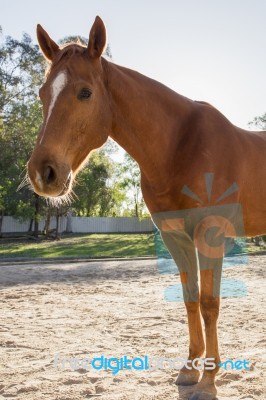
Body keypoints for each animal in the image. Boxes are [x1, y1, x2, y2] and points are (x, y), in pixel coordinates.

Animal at [27, 16, 266, 400]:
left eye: (85, 92)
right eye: (42, 93)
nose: (43, 173)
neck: (180, 145)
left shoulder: (210, 234)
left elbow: (210, 304)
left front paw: (209, 380)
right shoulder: (175, 238)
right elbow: (191, 299)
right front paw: (190, 369)